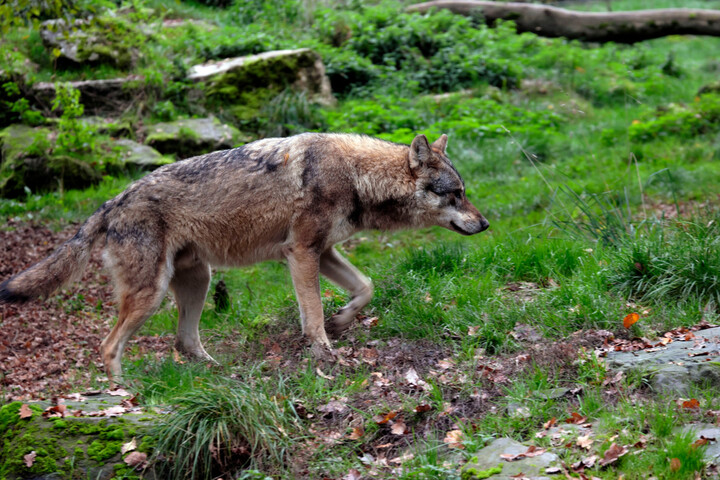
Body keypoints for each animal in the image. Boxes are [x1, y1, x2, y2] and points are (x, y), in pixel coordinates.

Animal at [0, 133, 489, 383]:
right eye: (456, 194)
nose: (484, 225)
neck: (355, 175)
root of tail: (112, 201)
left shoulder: (324, 251)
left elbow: (365, 288)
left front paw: (339, 323)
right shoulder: (302, 253)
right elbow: (311, 311)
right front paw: (325, 351)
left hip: (197, 280)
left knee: (184, 342)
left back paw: (223, 374)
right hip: (151, 295)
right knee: (108, 346)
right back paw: (125, 395)